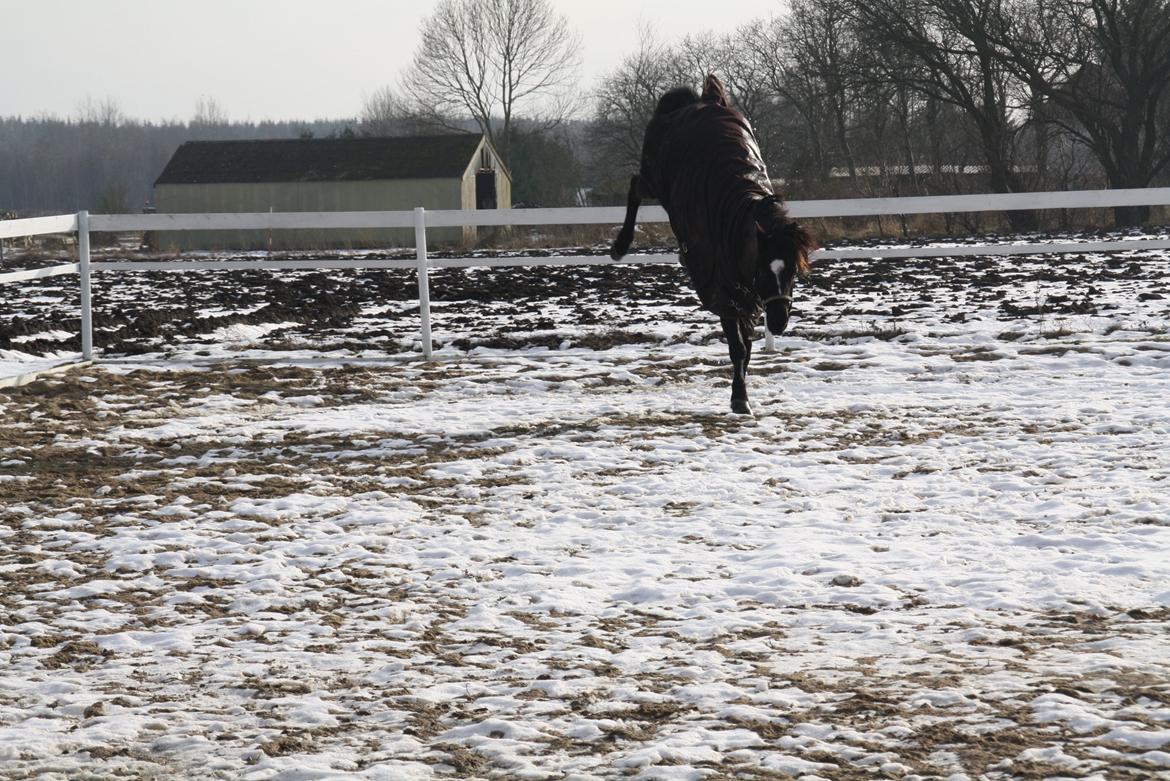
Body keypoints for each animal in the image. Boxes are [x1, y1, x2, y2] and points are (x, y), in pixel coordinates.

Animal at [610, 74, 816, 415]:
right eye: (764, 270)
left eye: (793, 273)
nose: (778, 321)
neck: (731, 222)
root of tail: (695, 100)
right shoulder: (723, 289)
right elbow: (737, 347)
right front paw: (740, 398)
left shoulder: (747, 296)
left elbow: (747, 346)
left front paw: (741, 393)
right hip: (655, 181)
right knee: (635, 185)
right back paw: (620, 245)